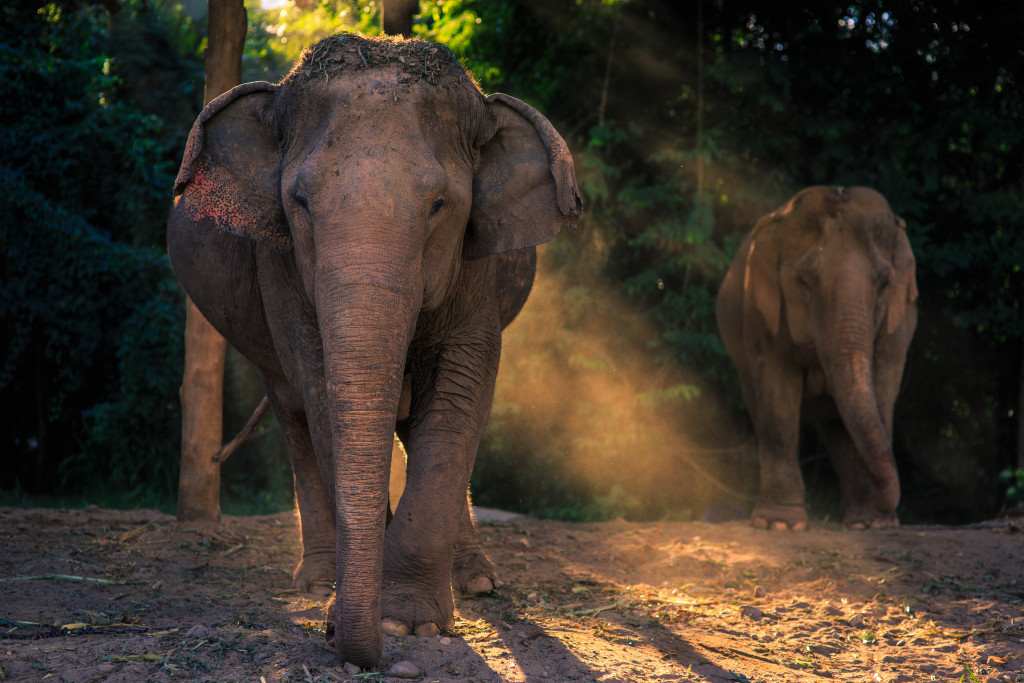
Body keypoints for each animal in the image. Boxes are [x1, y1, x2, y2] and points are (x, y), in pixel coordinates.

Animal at [169, 33, 585, 667]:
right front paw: (356, 611)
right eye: (299, 201)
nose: (336, 638)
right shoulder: (282, 266)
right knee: (294, 413)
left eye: (439, 205)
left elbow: (460, 392)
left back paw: (478, 583)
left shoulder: (477, 269)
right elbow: (322, 393)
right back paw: (316, 580)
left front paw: (407, 623)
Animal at [712, 187, 921, 532]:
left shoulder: (897, 326)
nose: (888, 508)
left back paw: (859, 522)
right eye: (805, 281)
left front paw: (877, 524)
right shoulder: (761, 318)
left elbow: (882, 391)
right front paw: (779, 525)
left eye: (884, 284)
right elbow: (778, 393)